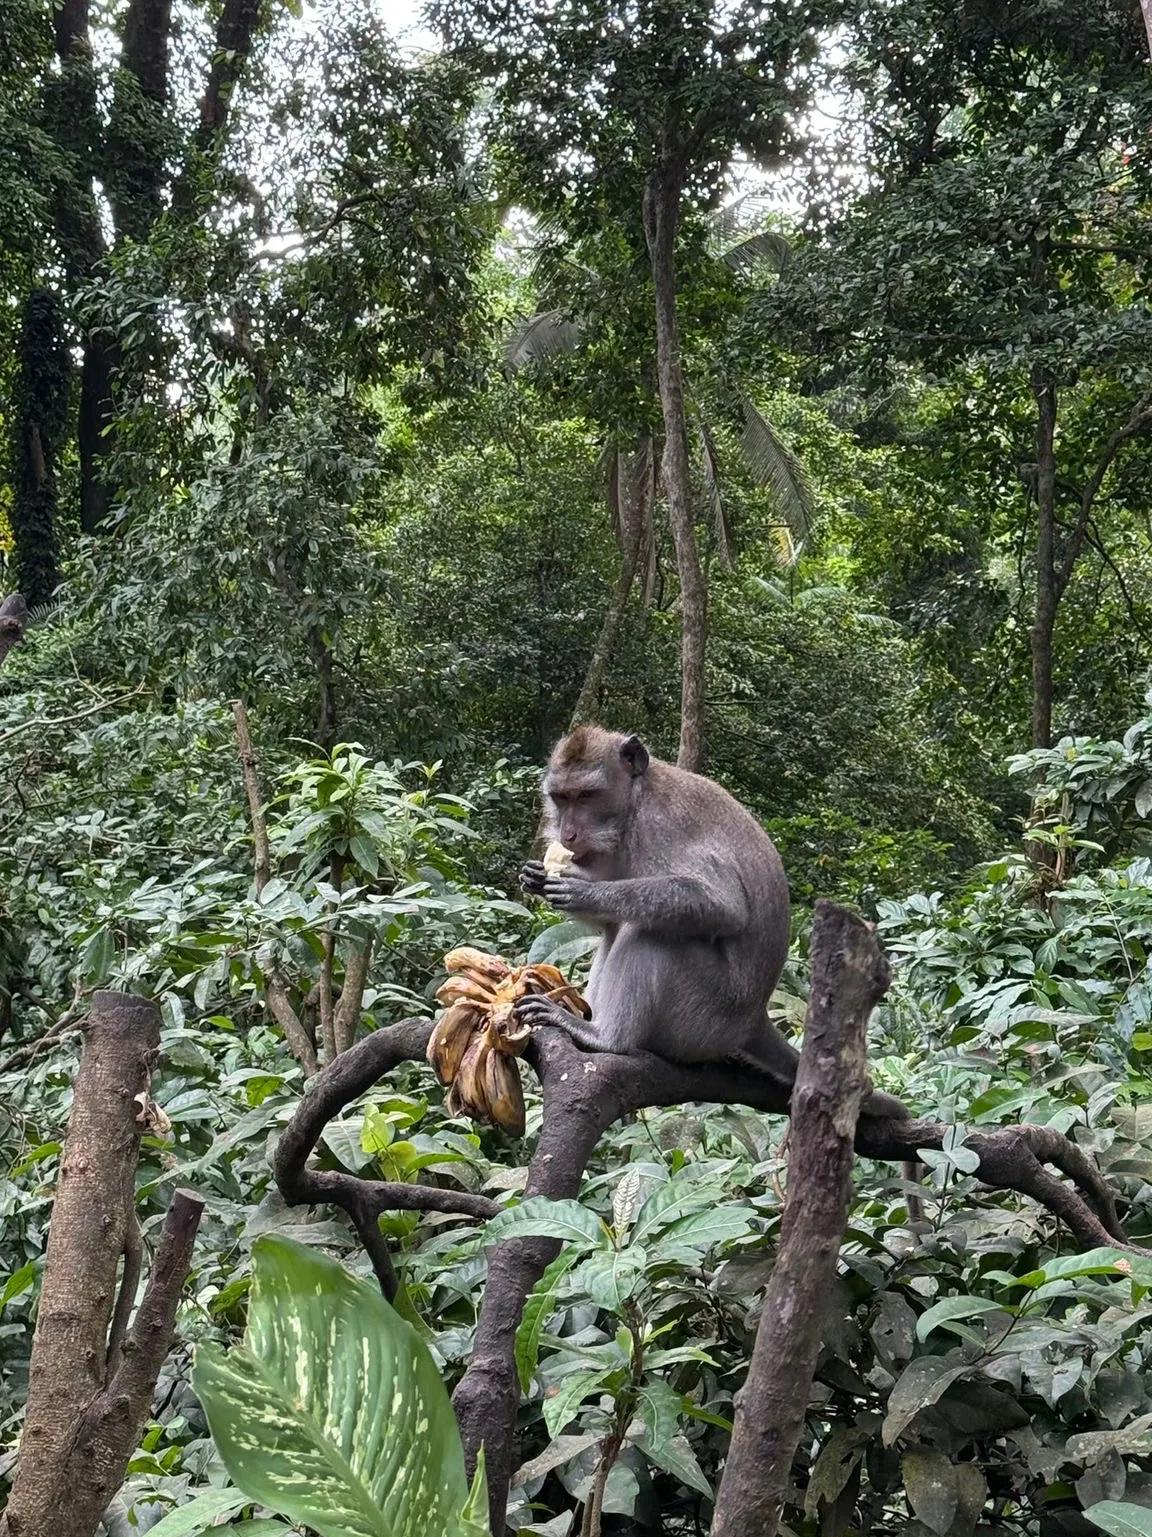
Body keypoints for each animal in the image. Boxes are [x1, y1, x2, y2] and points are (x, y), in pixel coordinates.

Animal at [514, 725, 914, 1132]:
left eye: (586, 796)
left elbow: (724, 906)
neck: (634, 806)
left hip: (704, 1018)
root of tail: (752, 1021)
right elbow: (610, 920)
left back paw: (607, 1037)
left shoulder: (660, 826)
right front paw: (538, 876)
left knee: (652, 934)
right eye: (561, 798)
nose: (568, 834)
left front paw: (583, 891)